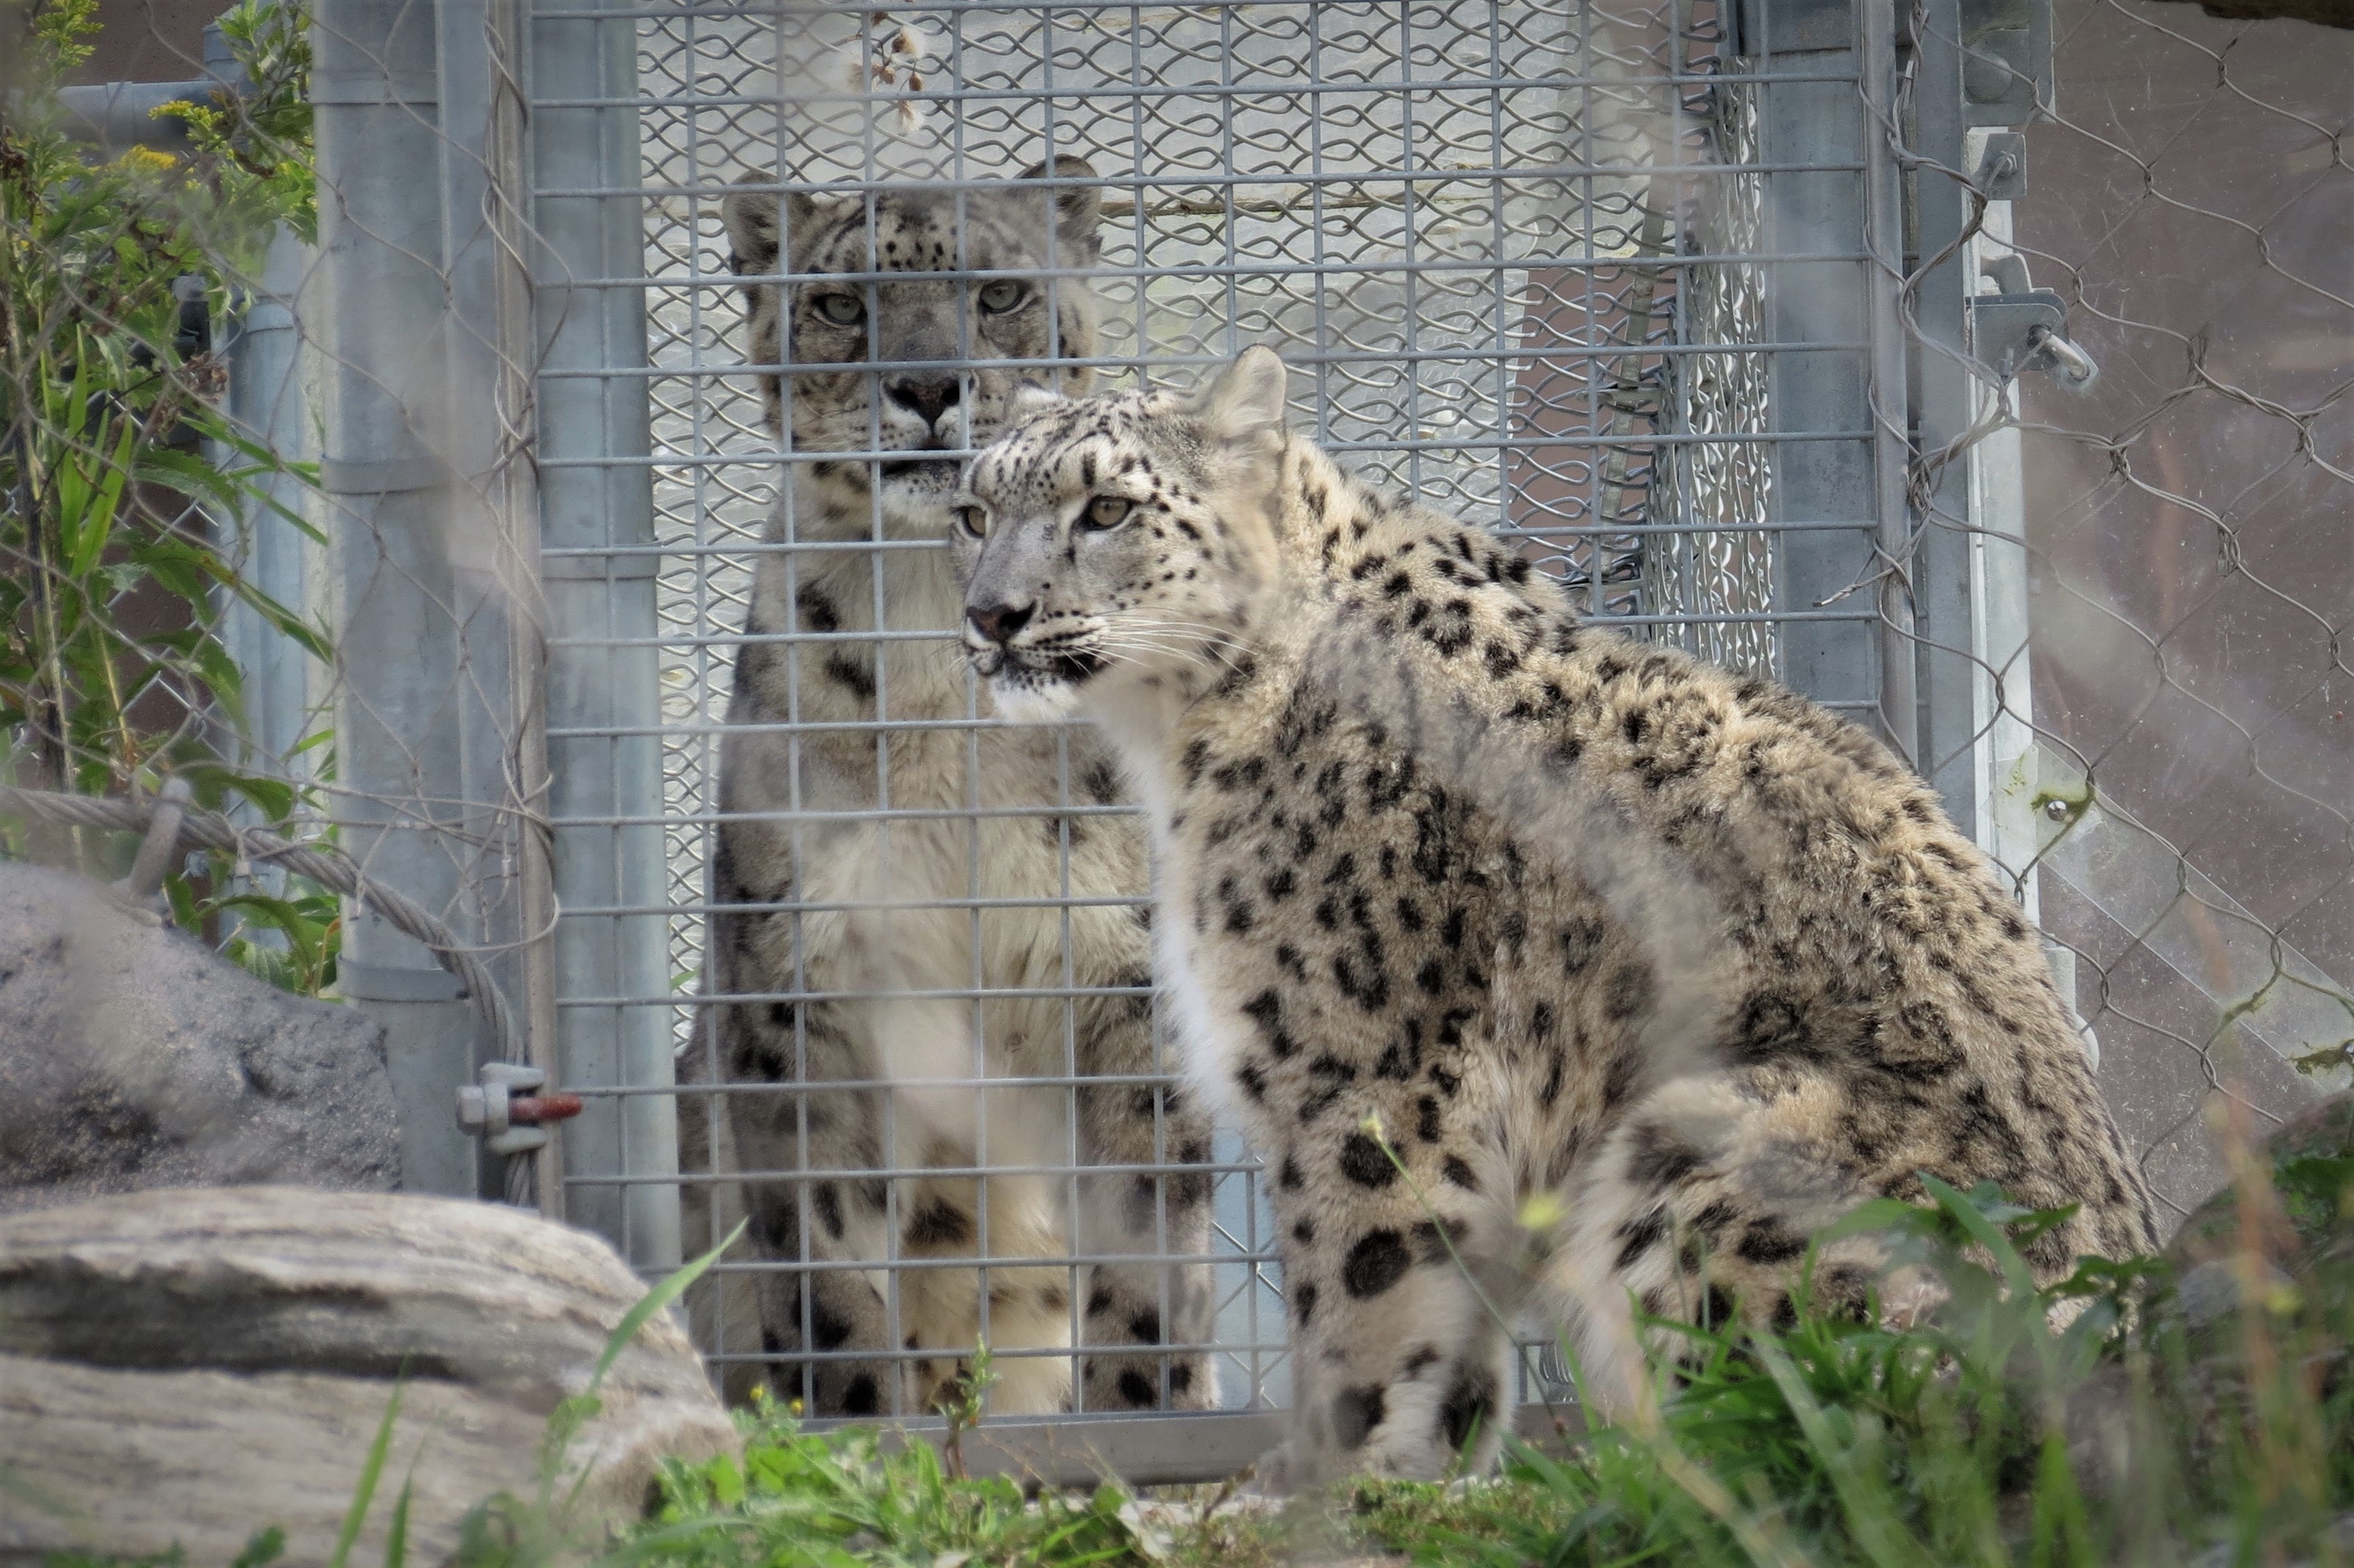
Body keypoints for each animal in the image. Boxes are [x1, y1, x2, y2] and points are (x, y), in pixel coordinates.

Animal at [685, 158, 1217, 1420]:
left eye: (1001, 292)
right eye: (840, 303)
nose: (927, 386)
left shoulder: (1122, 977)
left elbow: (1144, 1248)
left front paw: (1145, 1412)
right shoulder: (798, 980)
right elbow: (826, 1256)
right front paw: (856, 1427)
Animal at [949, 344, 2159, 1488]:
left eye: (1108, 508)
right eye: (973, 511)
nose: (990, 613)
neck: (1175, 746)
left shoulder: (1364, 1078)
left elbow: (1366, 1295)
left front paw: (1328, 1480)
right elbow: (1454, 1352)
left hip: (1698, 1143)